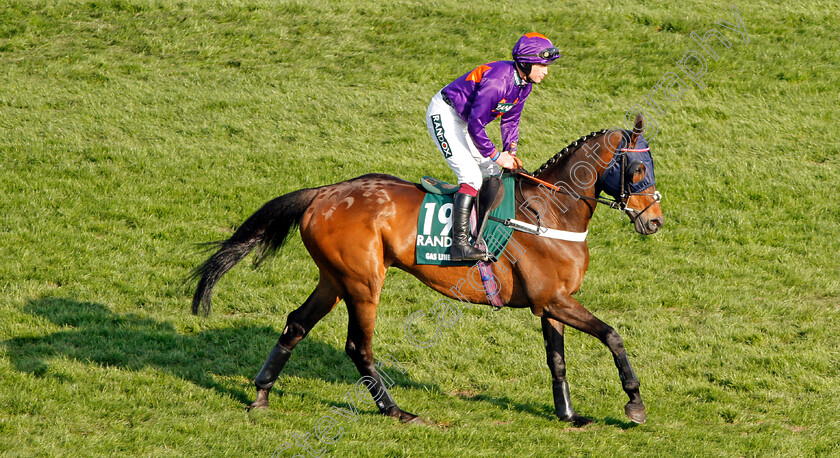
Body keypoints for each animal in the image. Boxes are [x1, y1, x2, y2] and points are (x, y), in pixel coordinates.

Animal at [190, 113, 664, 426]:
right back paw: (395, 410)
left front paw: (568, 414)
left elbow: (557, 360)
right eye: (639, 168)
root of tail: (323, 193)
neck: (550, 211)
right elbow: (612, 335)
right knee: (358, 346)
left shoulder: (550, 303)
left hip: (334, 280)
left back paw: (261, 394)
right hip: (364, 283)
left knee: (295, 324)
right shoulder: (554, 299)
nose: (655, 221)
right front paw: (634, 404)